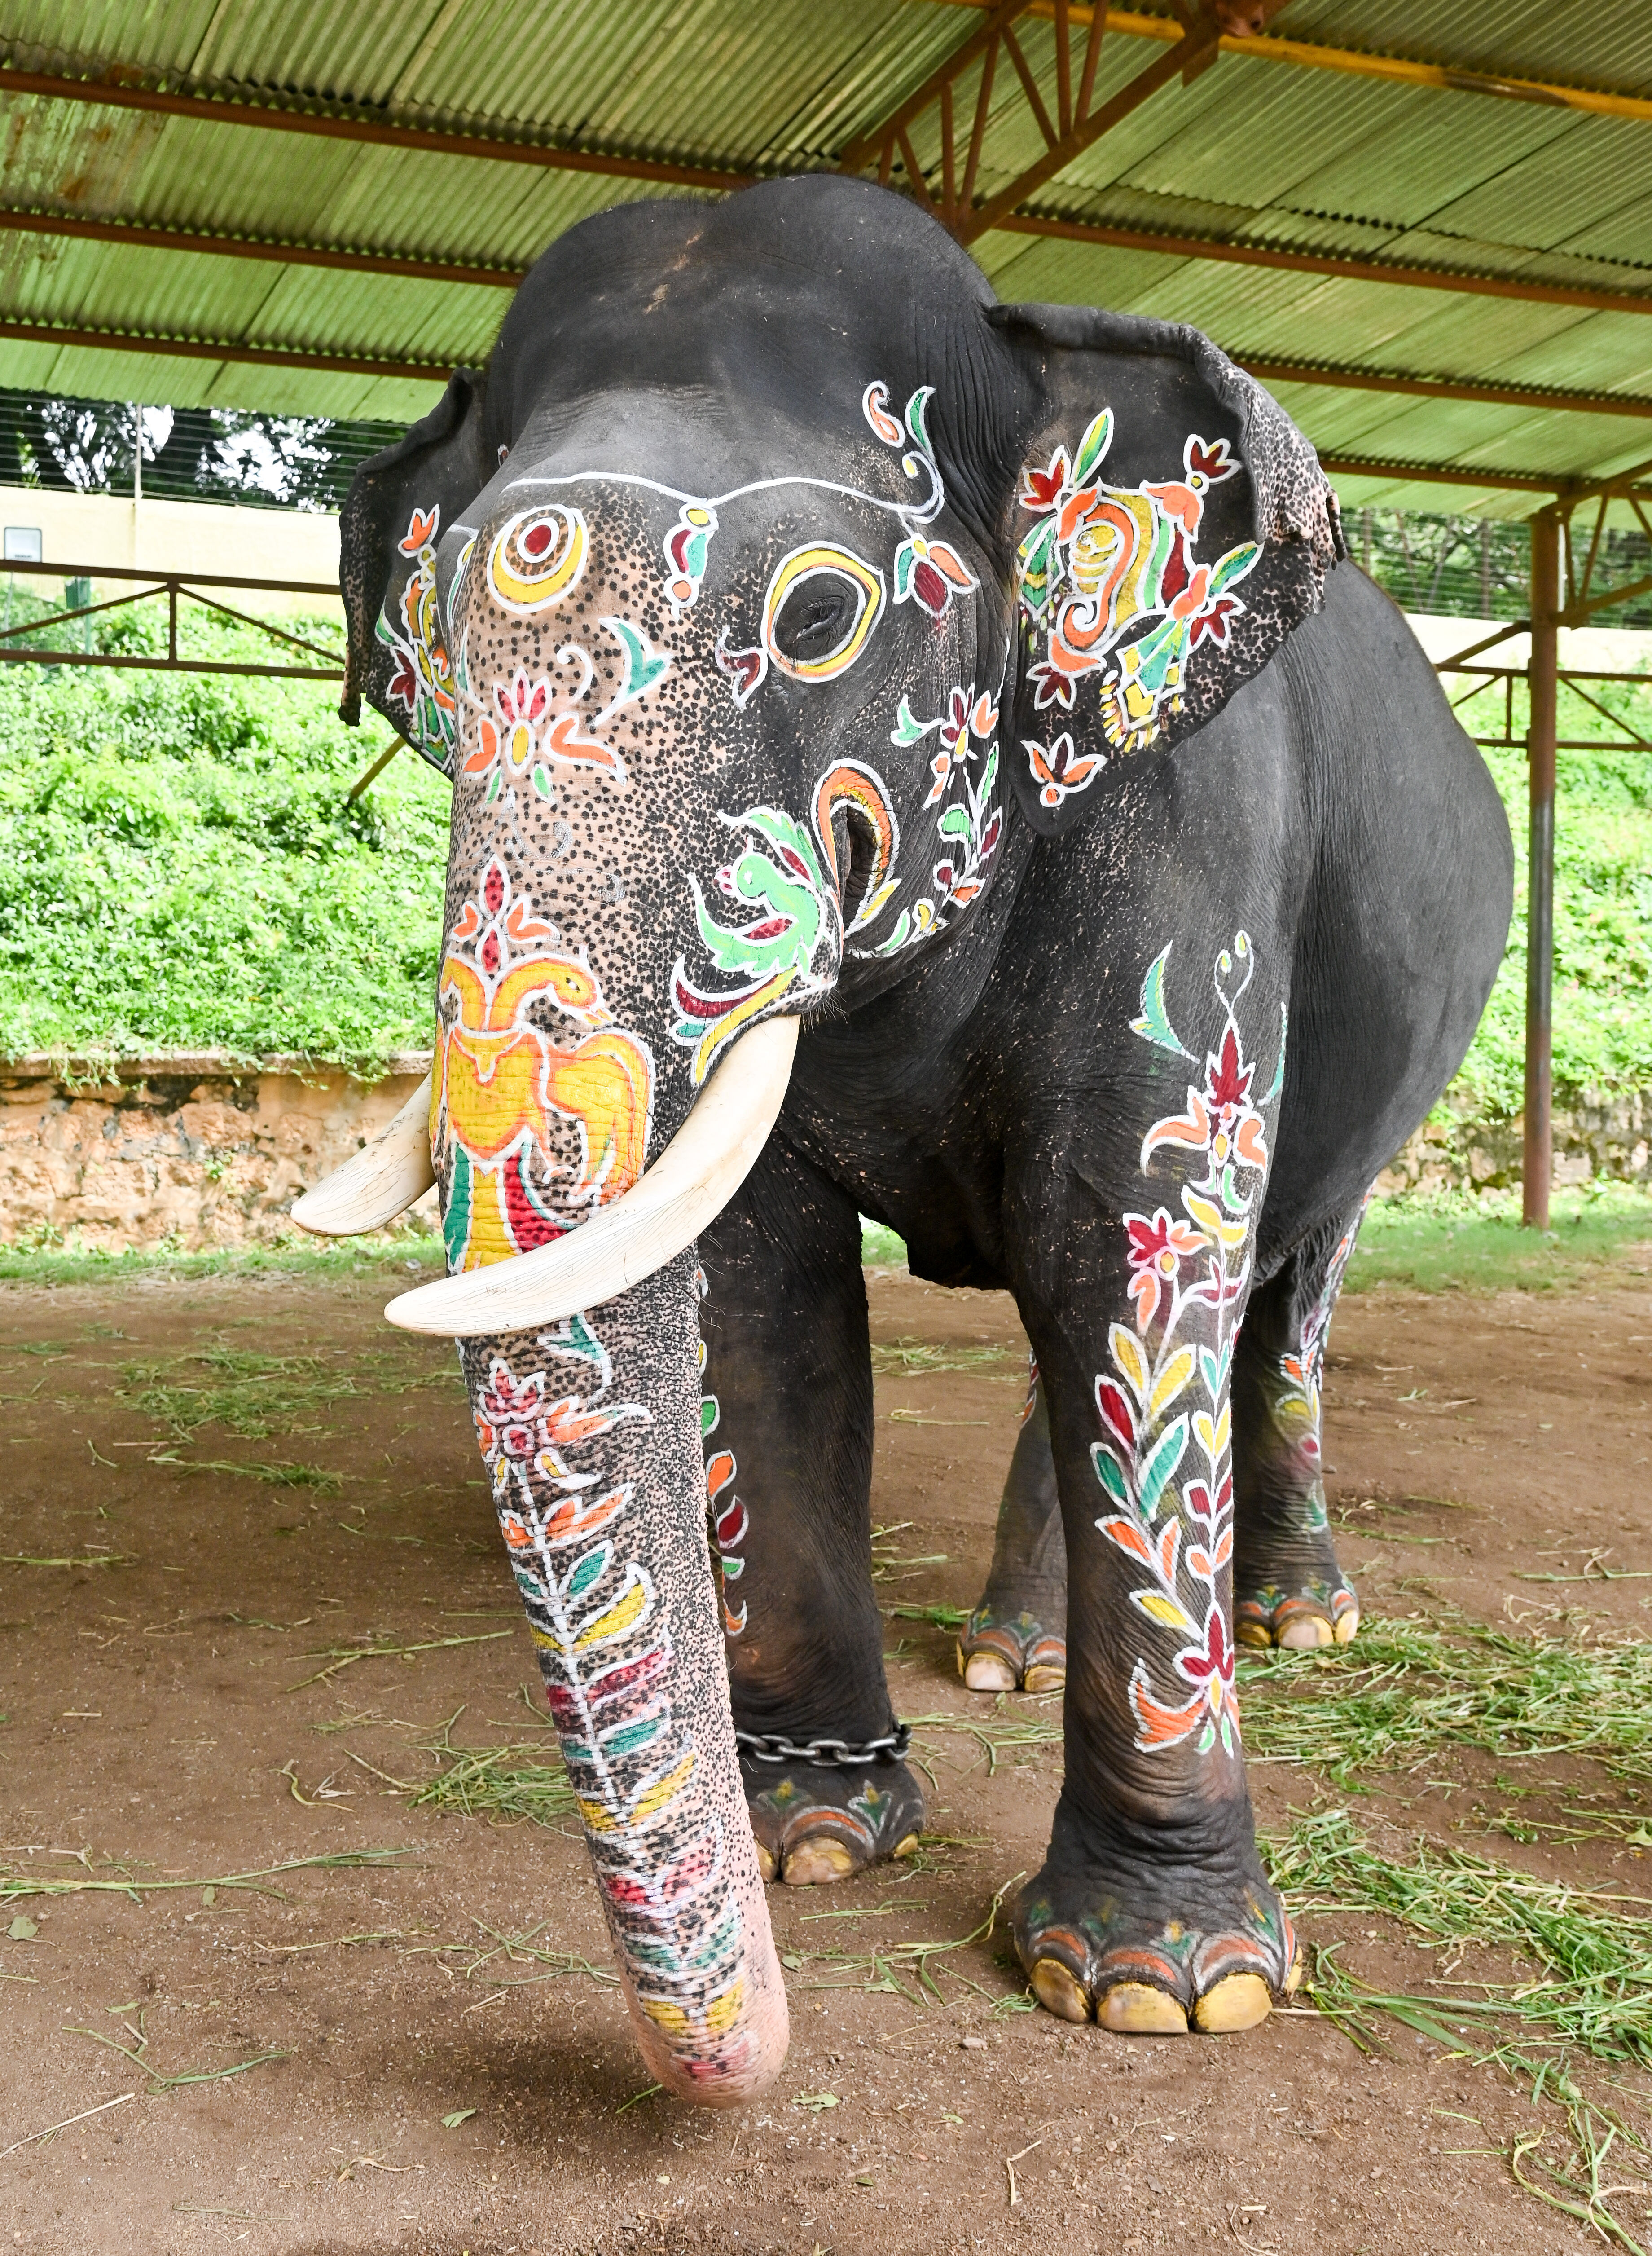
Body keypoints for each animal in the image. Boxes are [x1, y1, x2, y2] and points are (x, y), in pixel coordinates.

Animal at [302, 167, 1516, 2102]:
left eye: (817, 619)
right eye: (448, 647)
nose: (746, 2079)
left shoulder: (1190, 855)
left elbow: (1131, 1245)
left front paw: (1158, 1984)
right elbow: (766, 1298)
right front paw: (815, 1835)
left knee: (1272, 1289)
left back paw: (1300, 1617)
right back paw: (1007, 1652)